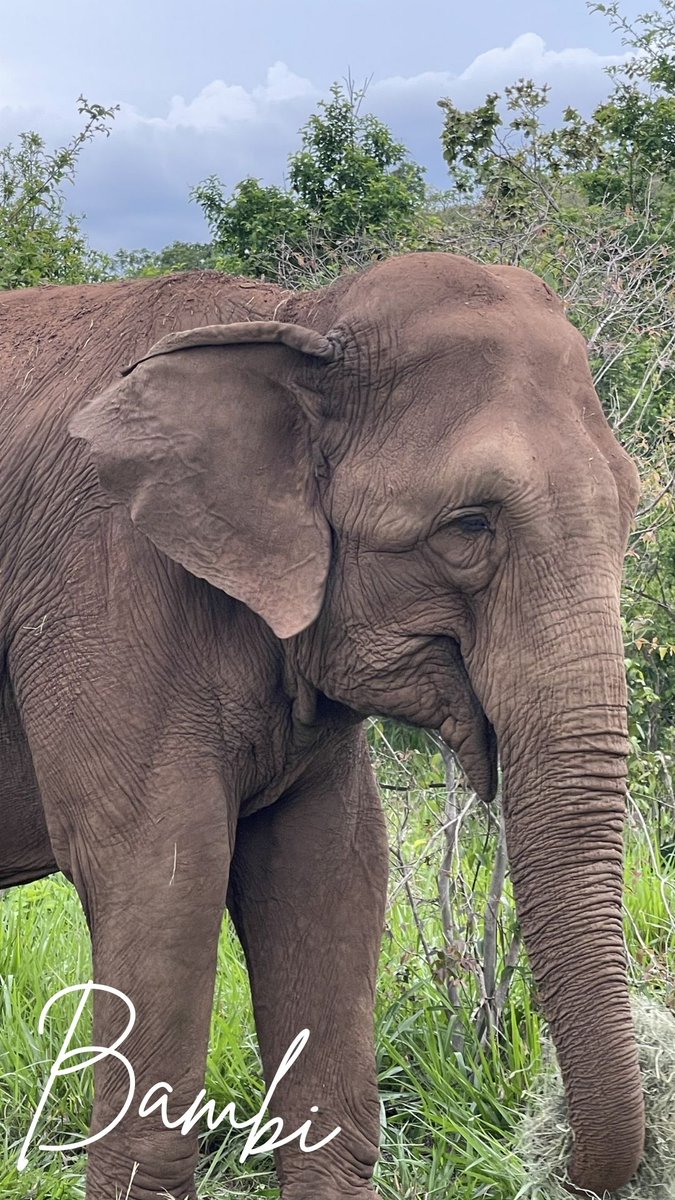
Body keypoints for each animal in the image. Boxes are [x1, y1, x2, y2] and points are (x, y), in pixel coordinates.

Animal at [0, 251, 644, 1199]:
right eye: (468, 525)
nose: (552, 1157)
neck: (297, 321)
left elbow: (329, 869)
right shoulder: (103, 587)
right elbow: (157, 873)